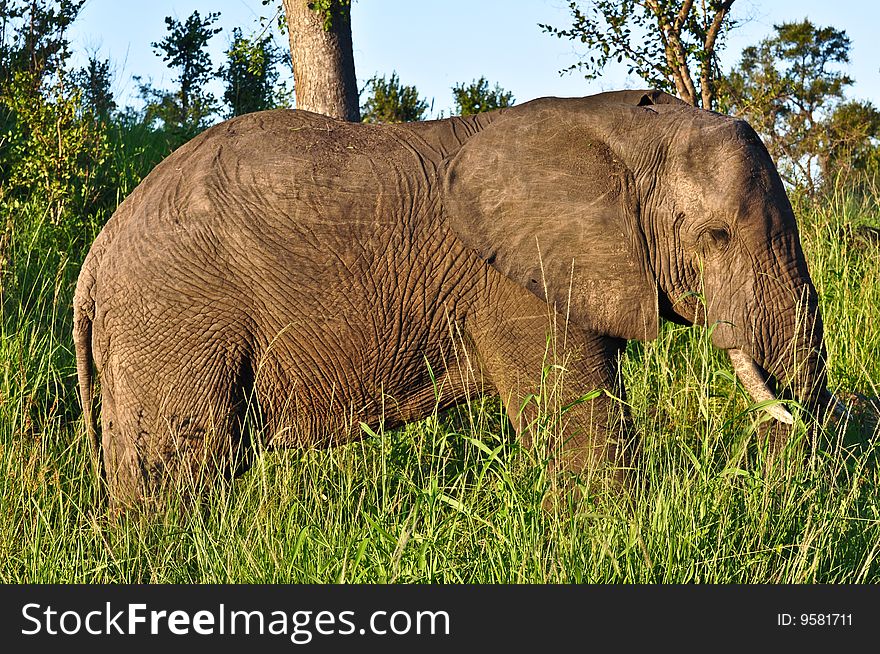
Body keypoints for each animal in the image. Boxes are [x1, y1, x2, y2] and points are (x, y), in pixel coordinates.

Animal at [74, 88, 840, 508]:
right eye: (716, 236)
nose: (771, 460)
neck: (619, 126)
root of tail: (96, 259)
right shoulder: (515, 281)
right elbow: (581, 424)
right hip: (174, 315)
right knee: (178, 473)